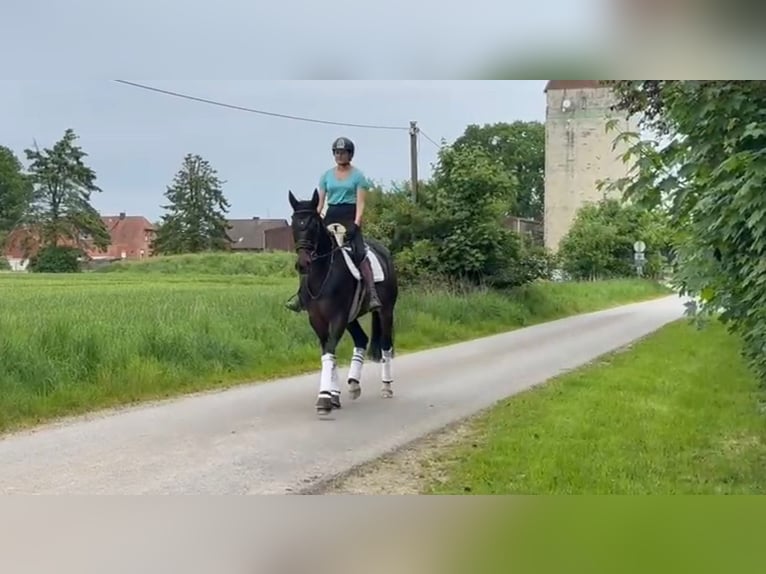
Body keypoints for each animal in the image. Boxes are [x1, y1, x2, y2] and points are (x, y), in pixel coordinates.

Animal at [284, 190, 400, 418]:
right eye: (294, 223)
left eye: (313, 224)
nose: (303, 264)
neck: (322, 274)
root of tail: (384, 253)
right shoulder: (317, 320)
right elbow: (328, 353)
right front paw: (333, 396)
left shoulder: (337, 317)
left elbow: (329, 351)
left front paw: (324, 398)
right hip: (351, 317)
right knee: (362, 340)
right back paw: (353, 384)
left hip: (385, 311)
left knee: (385, 345)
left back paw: (386, 387)